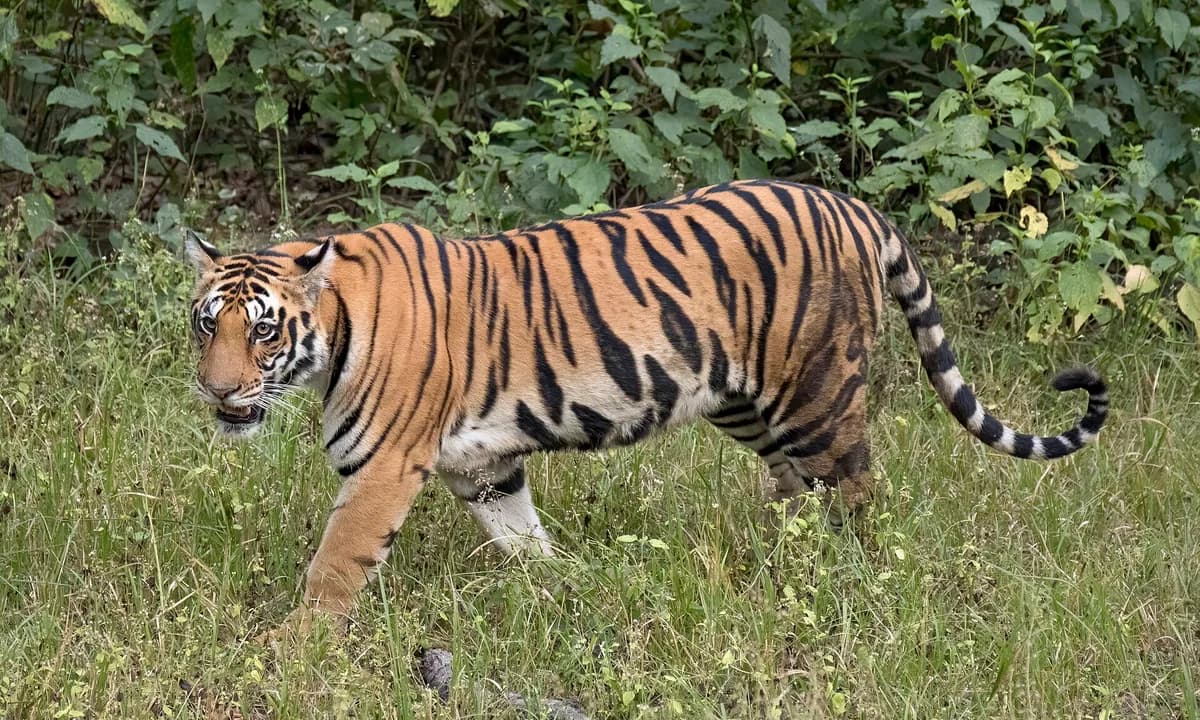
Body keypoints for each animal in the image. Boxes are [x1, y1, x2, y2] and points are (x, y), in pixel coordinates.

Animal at [183, 179, 1108, 628]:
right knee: (794, 488)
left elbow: (335, 564)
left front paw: (295, 649)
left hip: (817, 394)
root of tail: (853, 206)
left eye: (263, 330)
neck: (333, 334)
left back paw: (859, 582)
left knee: (858, 493)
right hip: (746, 402)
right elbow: (524, 538)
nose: (218, 391)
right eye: (205, 323)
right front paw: (564, 588)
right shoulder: (484, 466)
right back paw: (777, 561)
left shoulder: (382, 469)